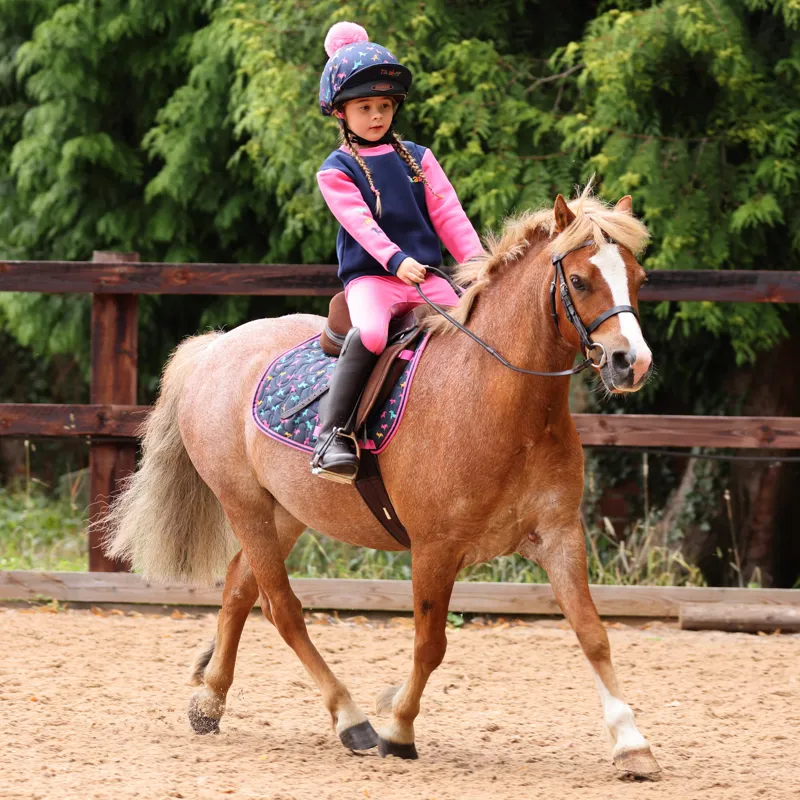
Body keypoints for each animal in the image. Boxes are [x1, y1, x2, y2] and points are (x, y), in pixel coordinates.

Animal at [102, 187, 661, 780]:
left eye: (638, 277)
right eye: (579, 280)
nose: (630, 362)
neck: (503, 400)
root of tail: (214, 348)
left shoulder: (559, 537)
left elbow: (592, 633)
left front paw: (632, 742)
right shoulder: (435, 549)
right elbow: (430, 644)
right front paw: (398, 727)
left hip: (286, 513)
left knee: (238, 591)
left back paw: (209, 702)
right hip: (245, 505)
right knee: (283, 609)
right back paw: (350, 719)